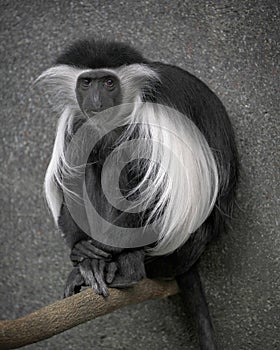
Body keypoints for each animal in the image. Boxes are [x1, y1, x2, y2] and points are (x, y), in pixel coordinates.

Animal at [37, 39, 238, 350]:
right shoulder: (76, 118)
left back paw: (126, 268)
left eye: (109, 82)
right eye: (87, 82)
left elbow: (157, 190)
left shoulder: (152, 115)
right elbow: (71, 178)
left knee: (130, 163)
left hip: (177, 247)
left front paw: (102, 257)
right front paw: (82, 251)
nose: (96, 102)